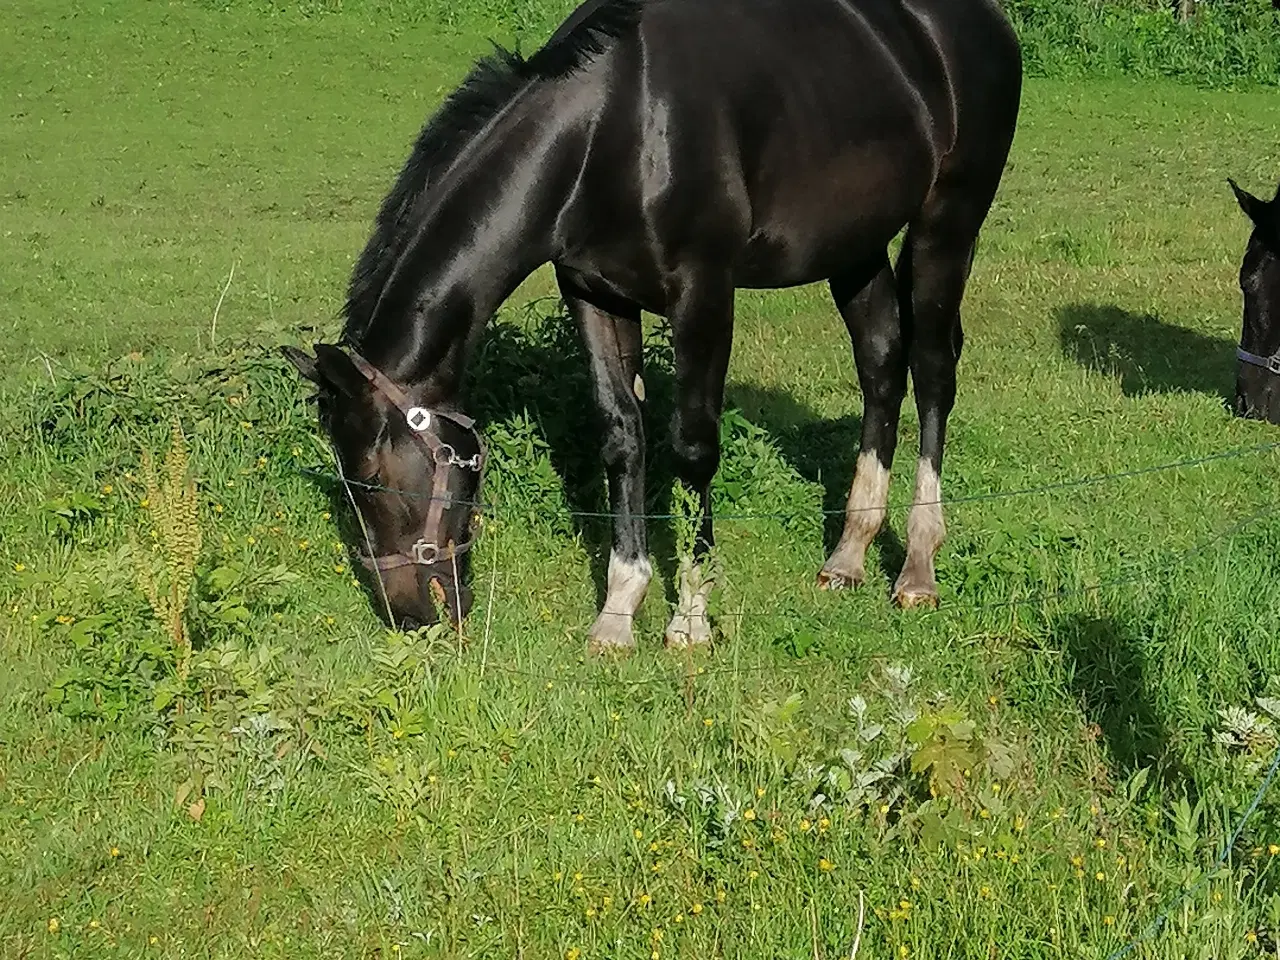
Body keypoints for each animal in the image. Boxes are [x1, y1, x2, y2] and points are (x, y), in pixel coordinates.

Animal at [285, 0, 1024, 655]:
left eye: (372, 477)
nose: (410, 617)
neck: (614, 131)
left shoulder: (704, 296)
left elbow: (693, 449)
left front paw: (690, 619)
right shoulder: (594, 295)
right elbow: (622, 438)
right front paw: (617, 612)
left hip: (945, 227)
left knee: (932, 368)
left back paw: (918, 568)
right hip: (855, 247)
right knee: (881, 362)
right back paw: (848, 555)